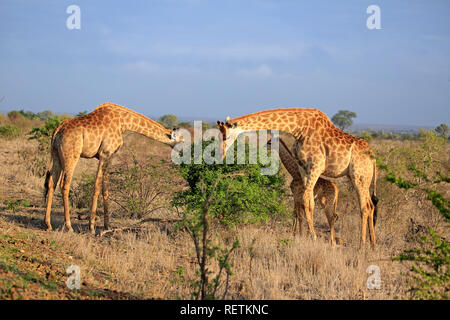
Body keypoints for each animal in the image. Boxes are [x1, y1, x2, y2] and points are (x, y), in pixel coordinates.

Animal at [43, 102, 181, 232]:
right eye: (182, 142)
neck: (123, 123)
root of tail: (57, 130)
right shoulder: (105, 154)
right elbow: (97, 186)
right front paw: (91, 227)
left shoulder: (110, 156)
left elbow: (106, 188)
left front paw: (107, 226)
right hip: (71, 156)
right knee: (64, 184)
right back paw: (69, 226)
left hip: (55, 154)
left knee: (51, 183)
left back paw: (48, 224)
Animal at [216, 109, 378, 246]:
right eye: (218, 136)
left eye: (227, 136)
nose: (220, 156)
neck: (298, 128)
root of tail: (373, 157)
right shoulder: (304, 169)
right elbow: (307, 203)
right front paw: (307, 236)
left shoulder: (316, 167)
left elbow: (305, 202)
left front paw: (312, 237)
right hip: (359, 178)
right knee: (370, 205)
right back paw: (373, 244)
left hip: (359, 176)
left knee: (363, 207)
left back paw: (361, 245)